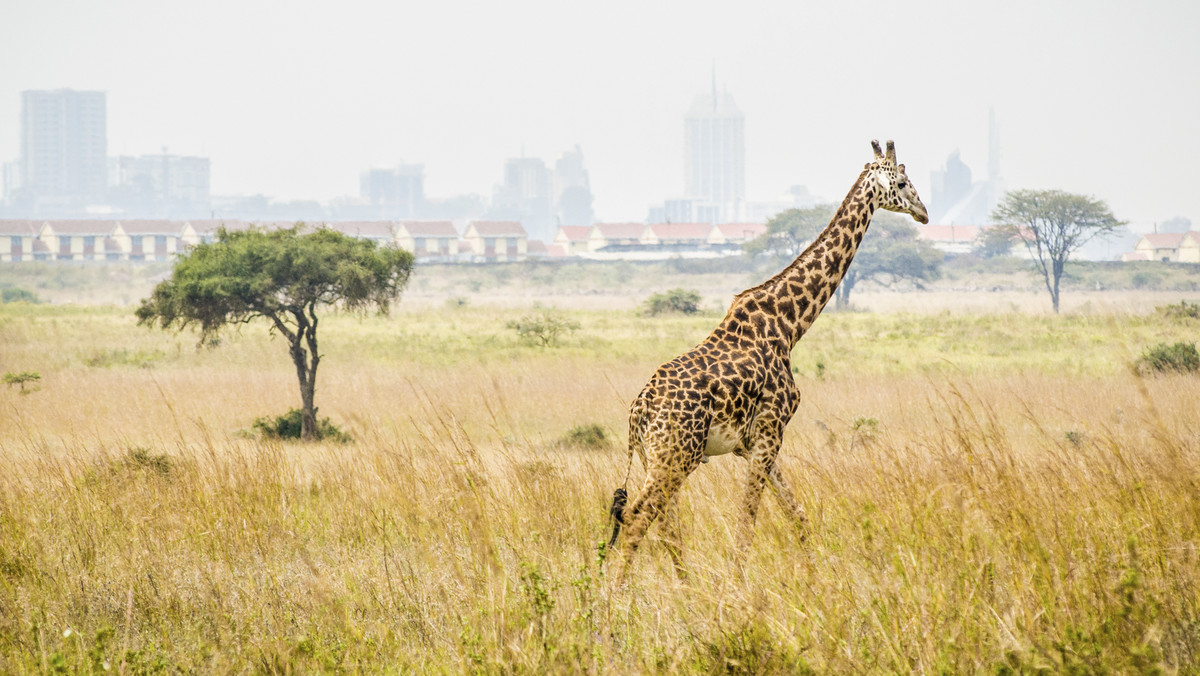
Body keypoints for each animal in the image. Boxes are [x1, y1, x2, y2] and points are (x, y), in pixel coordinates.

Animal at [609, 138, 926, 581]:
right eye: (901, 182)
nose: (924, 213)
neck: (789, 325)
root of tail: (638, 413)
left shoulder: (756, 443)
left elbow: (796, 513)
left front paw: (817, 576)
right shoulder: (770, 432)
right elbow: (748, 520)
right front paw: (737, 586)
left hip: (656, 458)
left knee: (662, 524)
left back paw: (682, 587)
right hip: (677, 457)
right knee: (638, 516)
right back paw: (616, 595)